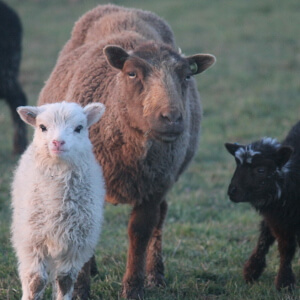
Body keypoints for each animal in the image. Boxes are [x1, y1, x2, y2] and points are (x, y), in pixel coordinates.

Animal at [11, 101, 106, 300]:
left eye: (79, 128)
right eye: (42, 127)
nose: (58, 142)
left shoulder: (75, 245)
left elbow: (65, 280)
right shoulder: (33, 242)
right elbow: (36, 281)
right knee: (25, 274)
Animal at [38, 3, 216, 298]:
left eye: (187, 76)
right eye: (132, 73)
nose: (171, 118)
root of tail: (121, 8)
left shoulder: (155, 185)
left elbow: (141, 231)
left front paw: (134, 287)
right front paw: (81, 289)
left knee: (161, 216)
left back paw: (156, 274)